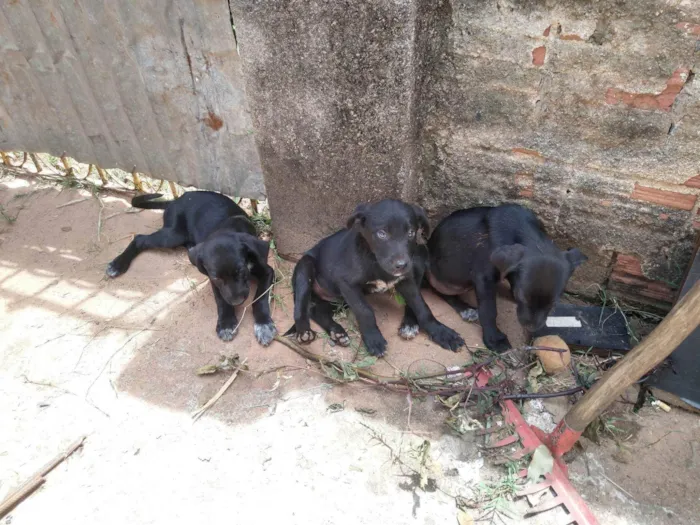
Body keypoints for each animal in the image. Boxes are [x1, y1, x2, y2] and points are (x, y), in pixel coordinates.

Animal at [106, 190, 276, 346]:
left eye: (241, 271)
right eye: (217, 277)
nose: (237, 302)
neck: (228, 228)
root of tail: (176, 200)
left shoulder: (267, 272)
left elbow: (259, 299)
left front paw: (263, 325)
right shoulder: (214, 282)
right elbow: (221, 300)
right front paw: (226, 323)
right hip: (173, 235)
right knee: (140, 239)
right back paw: (117, 264)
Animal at [288, 198, 468, 356]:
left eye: (411, 233)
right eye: (382, 233)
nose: (402, 264)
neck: (374, 260)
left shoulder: (406, 280)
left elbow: (422, 306)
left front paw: (441, 332)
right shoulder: (346, 284)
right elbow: (365, 311)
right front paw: (374, 339)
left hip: (338, 300)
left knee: (317, 311)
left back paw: (337, 333)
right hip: (305, 269)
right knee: (300, 306)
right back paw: (304, 331)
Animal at [402, 203, 588, 350]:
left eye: (554, 303)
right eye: (522, 297)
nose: (531, 327)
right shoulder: (484, 278)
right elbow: (489, 310)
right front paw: (494, 339)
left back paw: (465, 309)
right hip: (420, 260)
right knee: (418, 294)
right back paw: (411, 323)